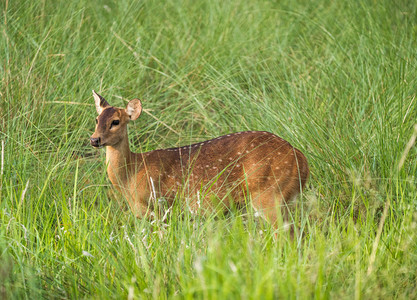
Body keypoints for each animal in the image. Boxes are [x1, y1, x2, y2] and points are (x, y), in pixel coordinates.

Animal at [89, 90, 308, 231]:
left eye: (115, 121)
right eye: (97, 119)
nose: (94, 139)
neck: (131, 175)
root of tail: (300, 159)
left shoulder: (161, 207)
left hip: (269, 194)